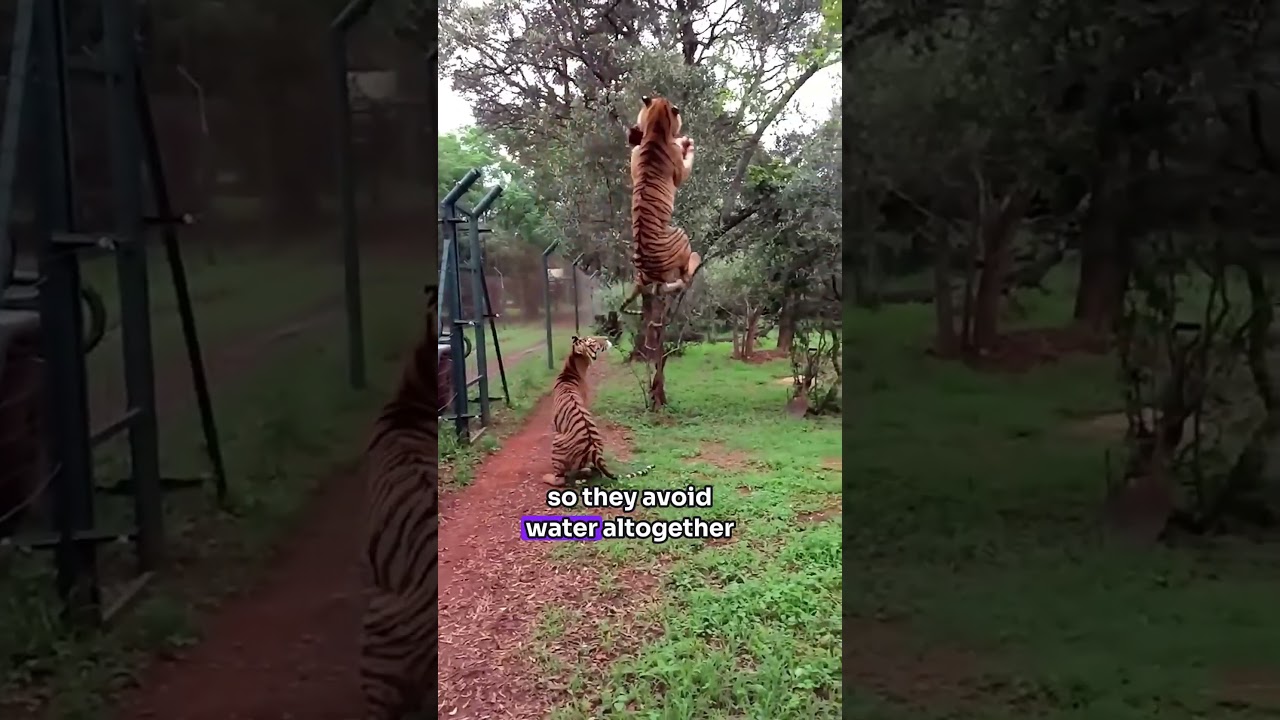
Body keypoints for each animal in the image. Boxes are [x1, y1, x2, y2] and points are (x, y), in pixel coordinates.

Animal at [548, 335, 655, 487]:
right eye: (591, 341)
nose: (606, 337)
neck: (571, 370)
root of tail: (595, 452)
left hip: (556, 442)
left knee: (560, 479)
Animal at [618, 94, 702, 317]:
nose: (634, 129)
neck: (656, 129)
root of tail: (645, 271)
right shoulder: (681, 171)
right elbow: (687, 163)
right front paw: (687, 143)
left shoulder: (635, 156)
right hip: (681, 236)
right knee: (686, 277)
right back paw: (697, 257)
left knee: (663, 287)